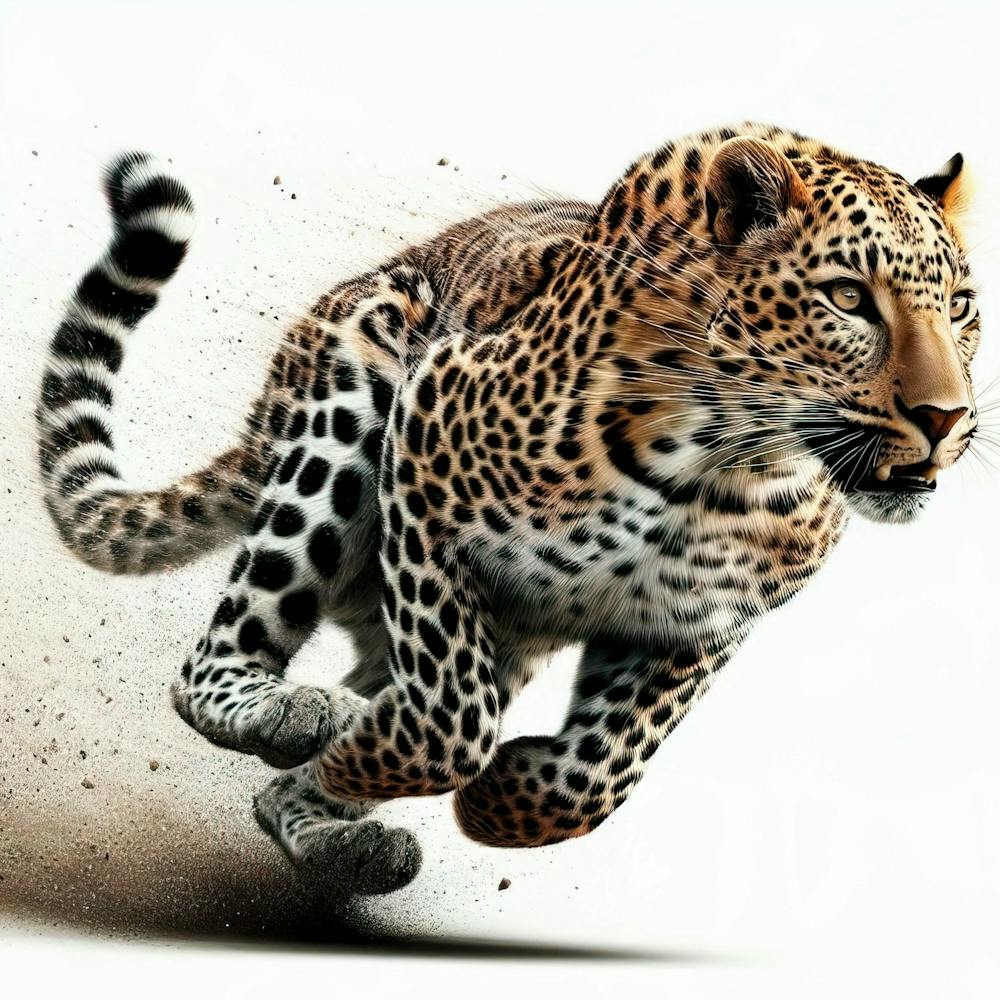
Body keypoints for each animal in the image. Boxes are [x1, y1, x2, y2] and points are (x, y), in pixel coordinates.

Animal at [36, 123, 982, 895]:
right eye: (849, 298)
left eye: (963, 308)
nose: (947, 418)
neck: (728, 474)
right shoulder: (427, 450)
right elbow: (449, 717)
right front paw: (403, 755)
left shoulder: (700, 624)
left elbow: (597, 776)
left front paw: (495, 797)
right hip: (355, 388)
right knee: (213, 665)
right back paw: (297, 714)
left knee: (304, 763)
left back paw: (341, 828)